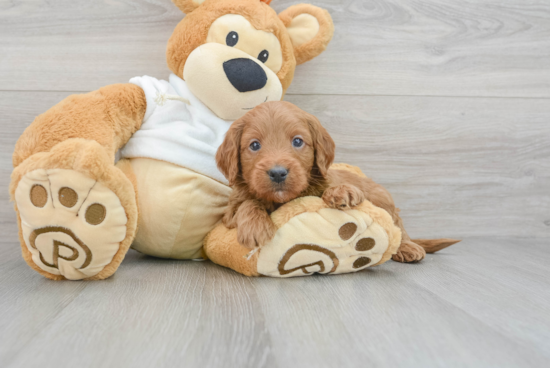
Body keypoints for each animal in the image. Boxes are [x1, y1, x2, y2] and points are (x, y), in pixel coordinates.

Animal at [218, 100, 460, 262]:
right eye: (254, 145)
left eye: (297, 141)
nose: (277, 173)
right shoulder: (229, 213)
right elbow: (248, 203)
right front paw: (255, 227)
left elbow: (332, 186)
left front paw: (341, 191)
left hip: (383, 199)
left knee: (398, 225)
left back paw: (407, 247)